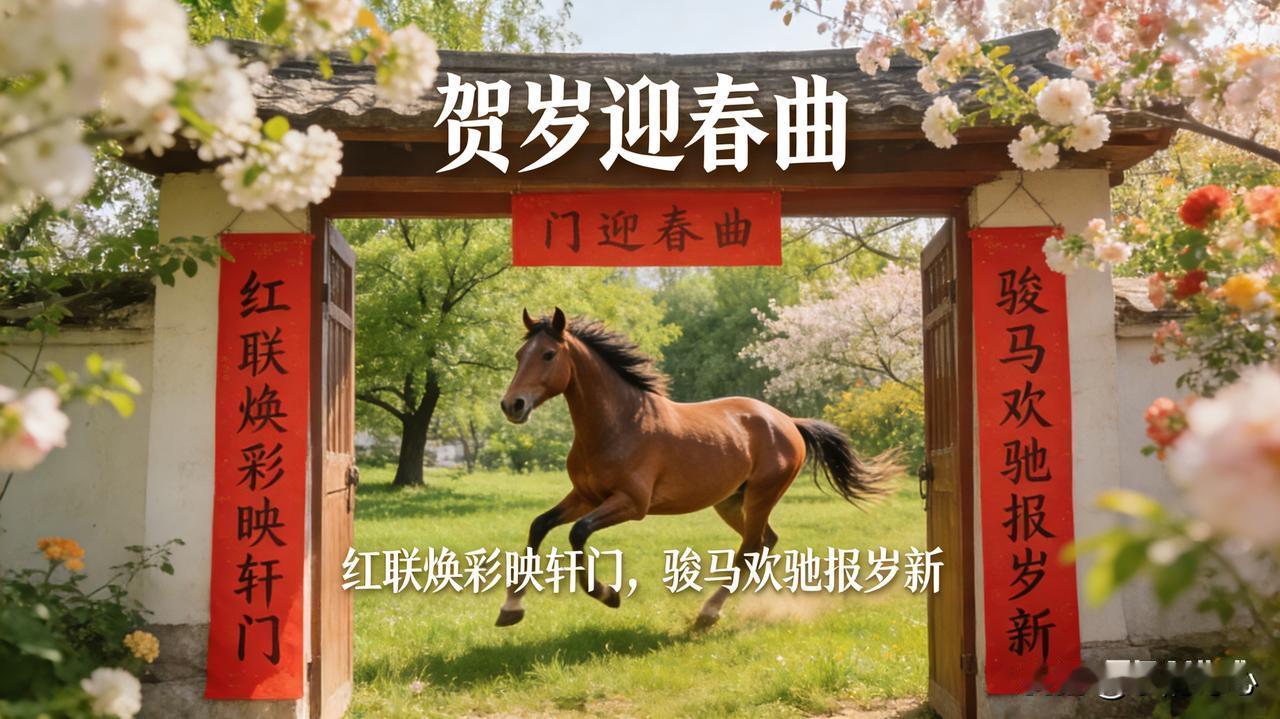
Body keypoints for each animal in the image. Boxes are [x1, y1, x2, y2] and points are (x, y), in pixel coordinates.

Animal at [495, 307, 899, 628]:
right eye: (518, 354)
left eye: (548, 354)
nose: (512, 405)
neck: (620, 424)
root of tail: (788, 421)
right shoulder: (585, 495)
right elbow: (540, 525)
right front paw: (511, 608)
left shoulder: (631, 503)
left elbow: (578, 533)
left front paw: (608, 594)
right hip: (731, 502)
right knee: (764, 542)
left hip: (761, 496)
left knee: (750, 547)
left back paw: (709, 612)